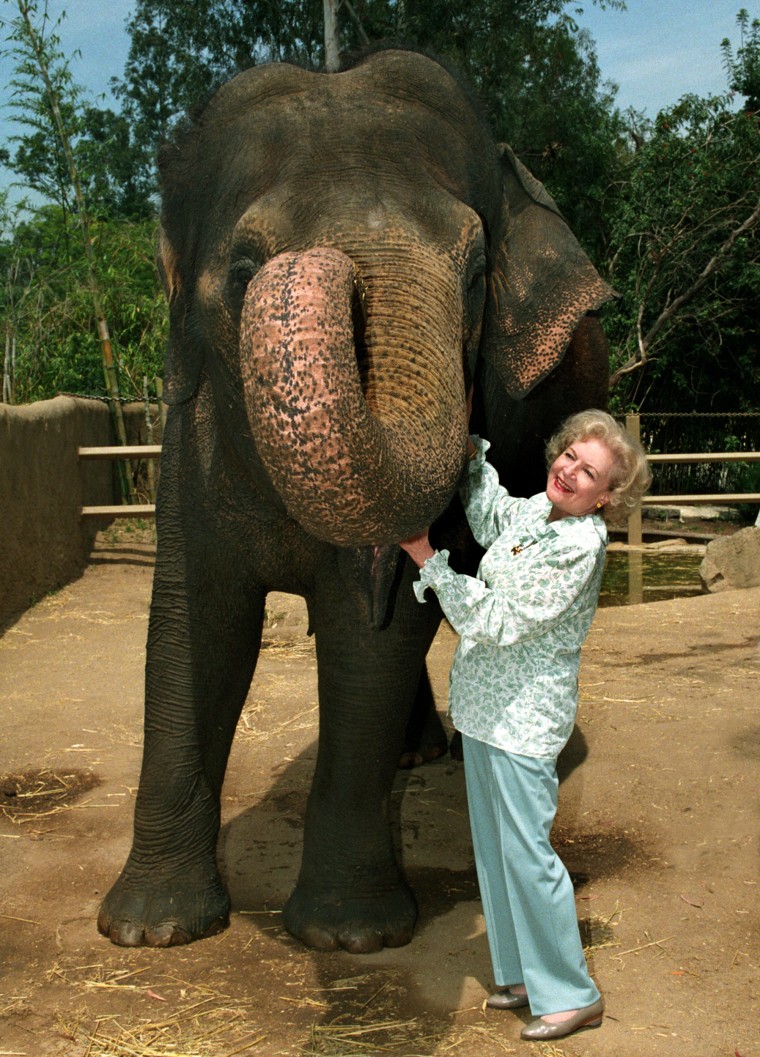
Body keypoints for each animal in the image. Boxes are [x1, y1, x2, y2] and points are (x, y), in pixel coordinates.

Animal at [98, 49, 617, 955]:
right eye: (243, 271)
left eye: (475, 275)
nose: (329, 276)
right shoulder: (189, 433)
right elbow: (196, 621)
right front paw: (149, 928)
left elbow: (368, 634)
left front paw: (349, 936)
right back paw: (416, 758)